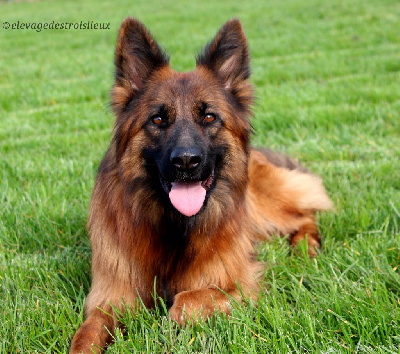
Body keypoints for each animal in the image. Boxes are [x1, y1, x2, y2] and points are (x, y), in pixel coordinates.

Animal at [70, 18, 332, 352]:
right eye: (157, 119)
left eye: (208, 117)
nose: (186, 161)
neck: (175, 229)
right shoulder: (110, 298)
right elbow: (85, 335)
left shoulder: (241, 285)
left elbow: (184, 303)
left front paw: (166, 326)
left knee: (305, 215)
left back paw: (305, 246)